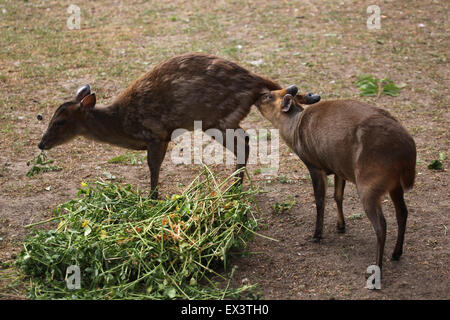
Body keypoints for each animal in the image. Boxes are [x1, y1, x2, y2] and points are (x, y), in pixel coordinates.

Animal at [38, 52, 320, 198]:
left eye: (60, 121)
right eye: (50, 116)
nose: (42, 143)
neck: (123, 124)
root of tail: (251, 79)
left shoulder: (156, 135)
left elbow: (153, 167)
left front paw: (152, 198)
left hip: (216, 118)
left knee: (244, 141)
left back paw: (233, 188)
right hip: (224, 118)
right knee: (247, 137)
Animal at [255, 84, 416, 270]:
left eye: (269, 96)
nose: (257, 97)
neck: (294, 128)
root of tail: (408, 151)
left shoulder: (315, 166)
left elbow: (320, 200)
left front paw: (316, 235)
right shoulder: (339, 169)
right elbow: (338, 196)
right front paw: (341, 226)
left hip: (370, 184)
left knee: (381, 225)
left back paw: (377, 266)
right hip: (394, 185)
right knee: (402, 213)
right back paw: (396, 253)